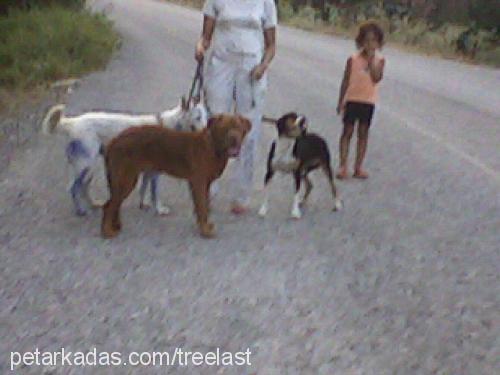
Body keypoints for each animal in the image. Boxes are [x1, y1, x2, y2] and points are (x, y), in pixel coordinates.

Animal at [40, 98, 209, 217]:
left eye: (206, 117)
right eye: (197, 117)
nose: (207, 133)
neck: (168, 125)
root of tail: (73, 122)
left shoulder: (147, 171)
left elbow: (143, 189)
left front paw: (143, 204)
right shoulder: (154, 173)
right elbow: (154, 194)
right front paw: (159, 210)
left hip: (90, 167)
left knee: (83, 186)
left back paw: (94, 204)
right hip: (86, 165)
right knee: (73, 188)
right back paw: (81, 211)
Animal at [101, 113, 250, 239]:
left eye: (238, 127)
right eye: (224, 128)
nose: (233, 138)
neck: (213, 147)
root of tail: (114, 141)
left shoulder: (205, 184)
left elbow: (205, 206)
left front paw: (205, 225)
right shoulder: (199, 182)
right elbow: (202, 207)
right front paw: (205, 231)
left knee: (113, 203)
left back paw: (116, 226)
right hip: (126, 179)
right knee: (109, 205)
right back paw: (108, 231)